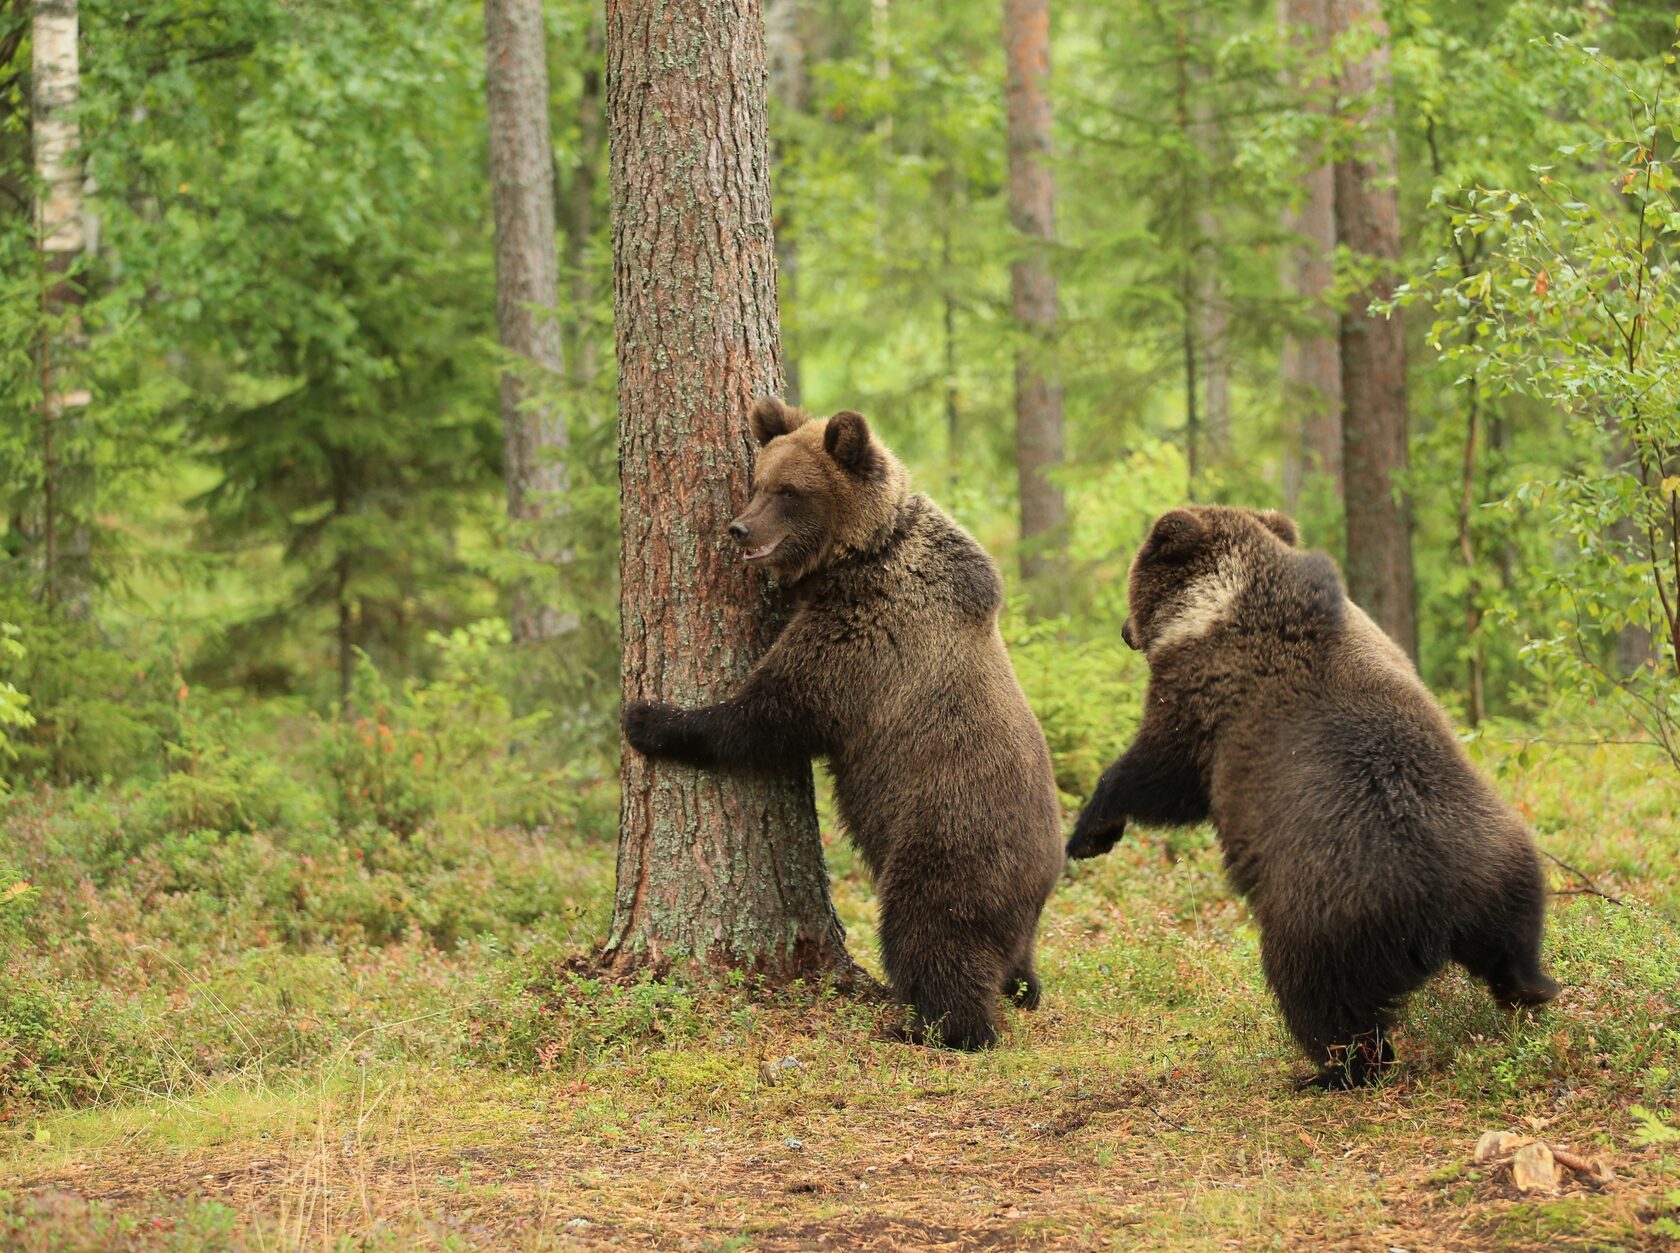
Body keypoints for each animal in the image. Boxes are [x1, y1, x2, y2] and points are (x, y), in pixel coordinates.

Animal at [624, 398, 1055, 1041]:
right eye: (756, 483)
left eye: (789, 491)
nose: (738, 528)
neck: (861, 554)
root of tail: (1047, 874)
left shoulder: (866, 638)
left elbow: (770, 716)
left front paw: (648, 718)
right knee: (1012, 964)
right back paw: (1020, 988)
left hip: (951, 840)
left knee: (928, 933)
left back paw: (936, 1027)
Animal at [1068, 503, 1552, 1081]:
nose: (1124, 630)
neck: (1221, 604)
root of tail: (1441, 909)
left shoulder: (1205, 700)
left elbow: (1160, 774)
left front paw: (1090, 831)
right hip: (1501, 860)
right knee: (1514, 941)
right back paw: (1532, 990)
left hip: (1322, 913)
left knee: (1321, 999)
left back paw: (1333, 1071)